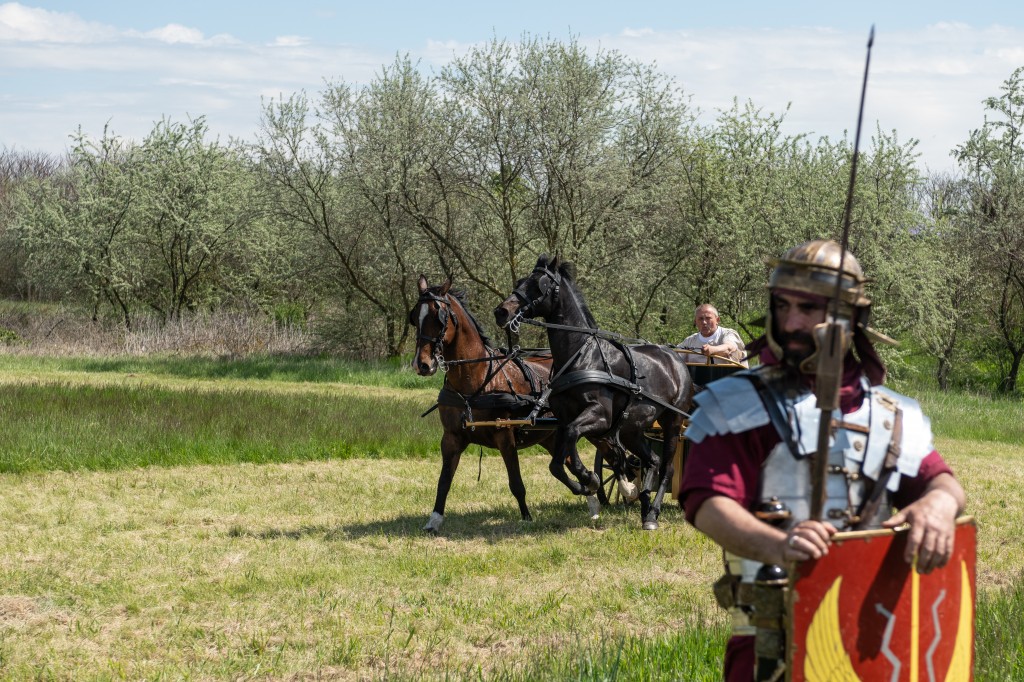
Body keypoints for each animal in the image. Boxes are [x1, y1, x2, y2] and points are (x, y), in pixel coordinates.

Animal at [410, 275, 597, 533]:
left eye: (439, 316)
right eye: (414, 316)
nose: (422, 364)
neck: (476, 380)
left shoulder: (505, 437)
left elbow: (516, 483)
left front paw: (526, 518)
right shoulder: (451, 438)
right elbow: (444, 481)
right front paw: (434, 520)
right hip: (552, 437)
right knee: (569, 462)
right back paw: (592, 501)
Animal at [493, 255, 694, 530]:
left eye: (539, 285)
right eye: (520, 282)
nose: (502, 311)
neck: (583, 356)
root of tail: (676, 358)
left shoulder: (599, 416)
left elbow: (572, 437)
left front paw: (589, 478)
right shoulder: (565, 419)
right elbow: (557, 463)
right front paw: (587, 483)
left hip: (672, 422)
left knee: (666, 468)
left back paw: (652, 514)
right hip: (632, 429)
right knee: (651, 460)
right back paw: (643, 507)